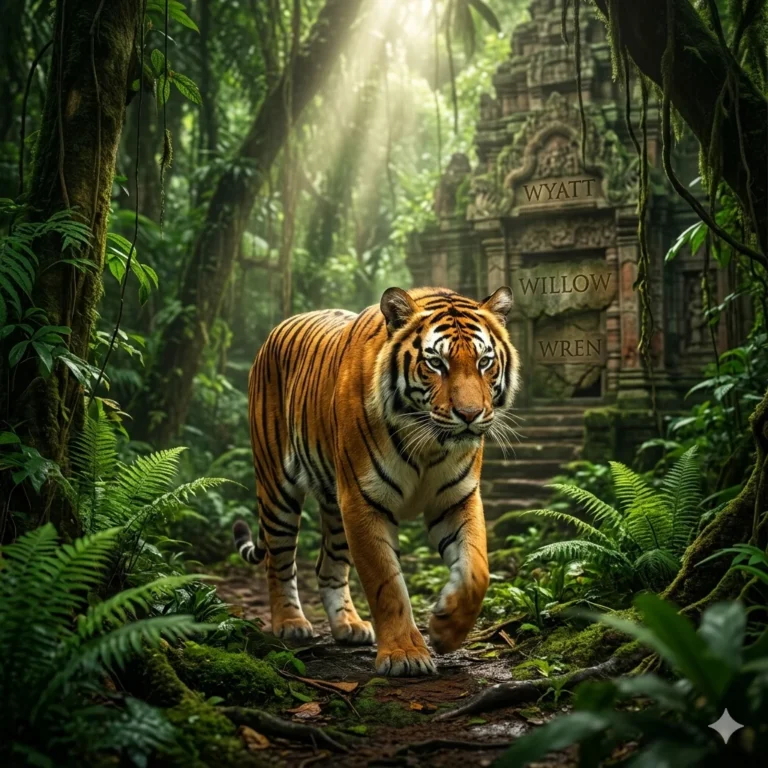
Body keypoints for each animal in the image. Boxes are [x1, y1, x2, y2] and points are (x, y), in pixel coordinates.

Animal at [233, 286, 520, 676]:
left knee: (328, 566)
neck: (428, 443)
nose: (470, 415)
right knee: (278, 561)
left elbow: (477, 571)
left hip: (334, 504)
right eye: (436, 363)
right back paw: (290, 623)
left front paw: (446, 629)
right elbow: (386, 583)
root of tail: (277, 329)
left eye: (484, 362)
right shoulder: (363, 500)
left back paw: (348, 625)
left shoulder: (456, 498)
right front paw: (405, 655)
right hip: (278, 489)